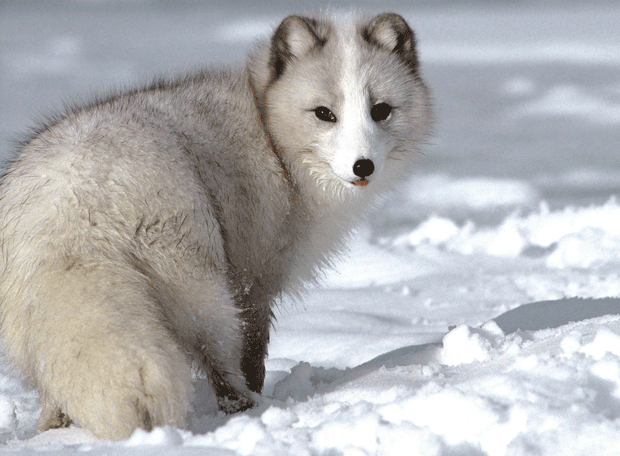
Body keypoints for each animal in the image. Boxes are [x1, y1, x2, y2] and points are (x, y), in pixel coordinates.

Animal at [0, 11, 432, 438]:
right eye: (325, 114)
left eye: (381, 110)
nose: (363, 166)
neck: (269, 131)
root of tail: (73, 203)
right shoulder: (255, 278)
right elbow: (253, 350)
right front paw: (256, 393)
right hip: (200, 288)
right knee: (219, 357)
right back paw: (243, 407)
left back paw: (53, 428)